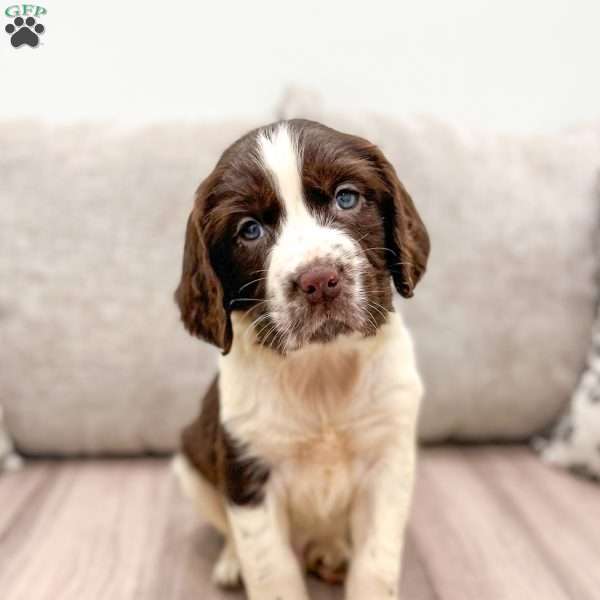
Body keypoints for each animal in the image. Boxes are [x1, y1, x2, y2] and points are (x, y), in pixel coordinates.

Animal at [171, 118, 428, 600]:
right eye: (249, 230)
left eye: (346, 198)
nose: (319, 281)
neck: (321, 367)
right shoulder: (248, 471)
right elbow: (272, 571)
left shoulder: (388, 460)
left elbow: (375, 564)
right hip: (190, 468)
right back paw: (232, 562)